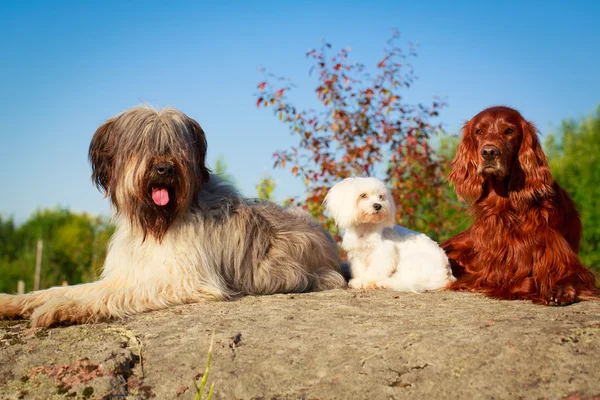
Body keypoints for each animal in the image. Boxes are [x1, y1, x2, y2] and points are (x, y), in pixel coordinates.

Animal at [0, 106, 344, 328]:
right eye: (142, 145)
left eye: (177, 147)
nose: (165, 169)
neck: (157, 223)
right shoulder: (127, 273)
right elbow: (68, 288)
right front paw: (15, 302)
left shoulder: (185, 281)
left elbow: (114, 295)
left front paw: (61, 309)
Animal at [442, 104, 596, 304]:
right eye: (478, 131)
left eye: (509, 131)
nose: (489, 152)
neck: (506, 205)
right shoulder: (488, 269)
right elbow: (522, 281)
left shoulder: (568, 263)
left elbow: (570, 276)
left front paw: (560, 290)